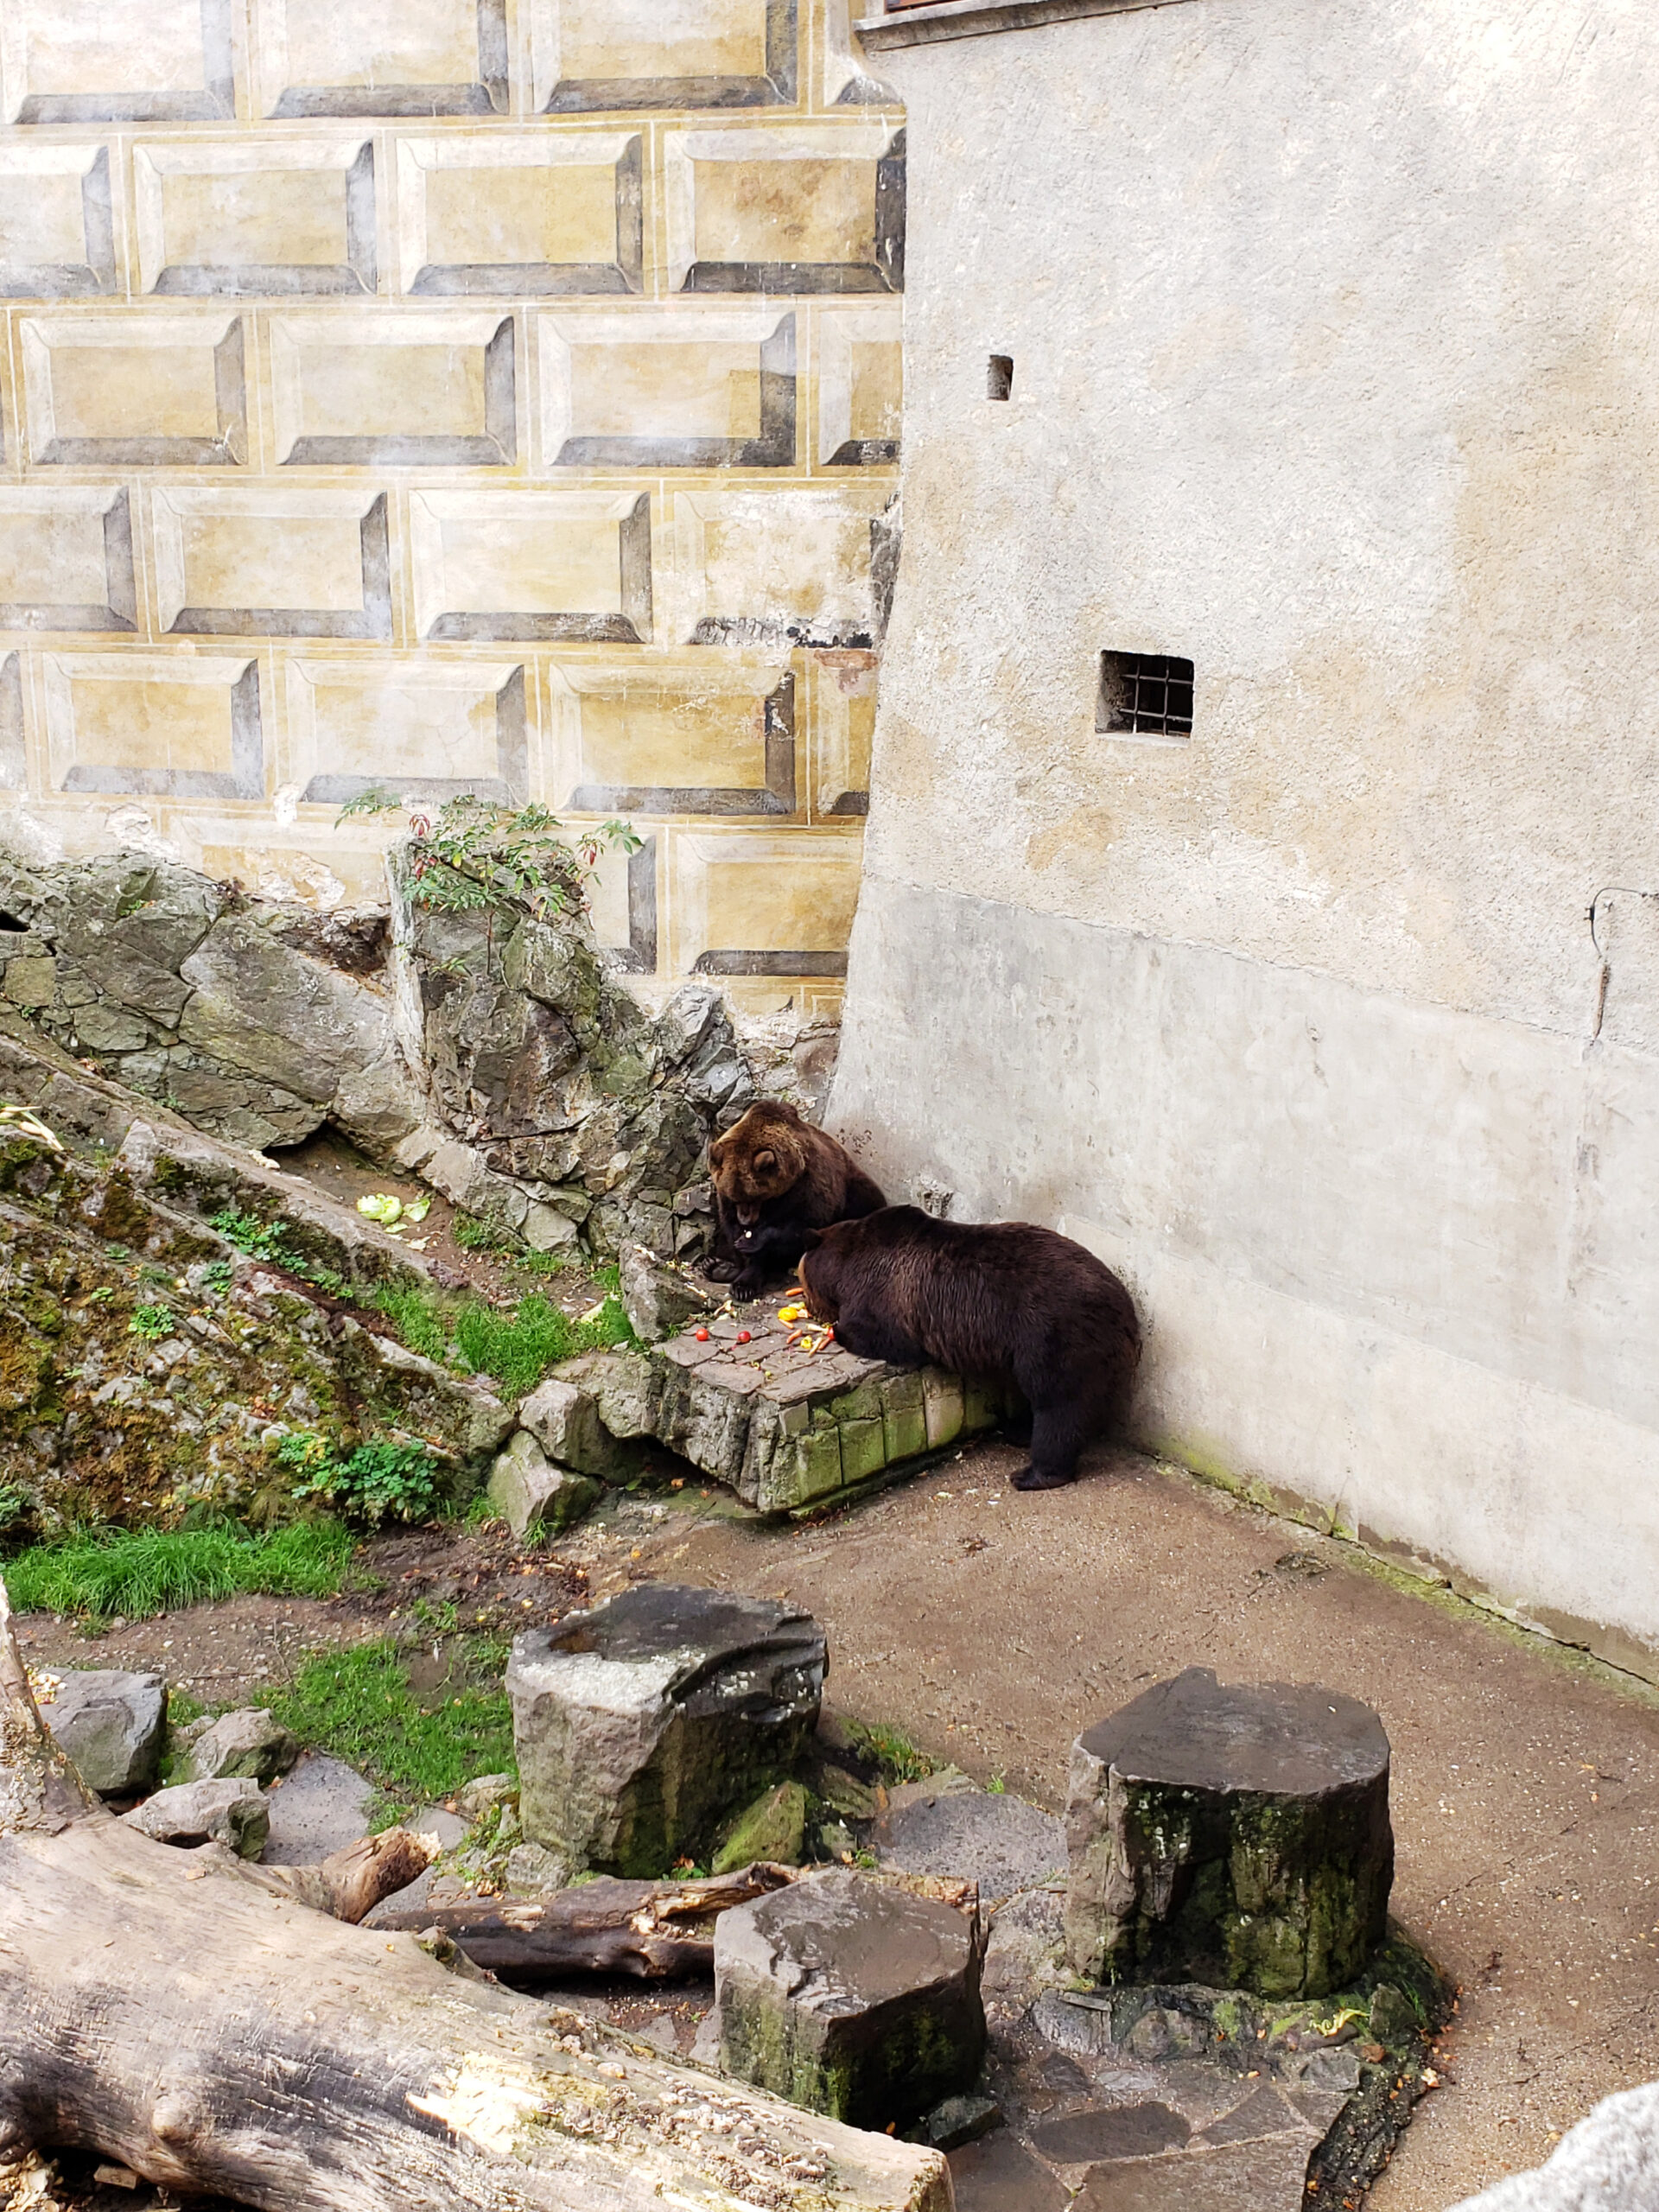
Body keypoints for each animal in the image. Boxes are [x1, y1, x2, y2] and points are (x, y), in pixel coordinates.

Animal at [703, 1101, 889, 1292]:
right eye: (736, 1199)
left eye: (755, 1198)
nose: (746, 1221)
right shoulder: (725, 1196)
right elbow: (729, 1224)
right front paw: (736, 1260)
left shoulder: (810, 1185)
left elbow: (802, 1223)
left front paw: (749, 1265)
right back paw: (717, 1267)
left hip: (856, 1192)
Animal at [796, 1203, 1141, 1495]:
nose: (811, 1307)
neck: (847, 1264)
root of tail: (1127, 1311)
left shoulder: (886, 1293)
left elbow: (883, 1337)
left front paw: (838, 1329)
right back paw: (1018, 1430)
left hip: (1054, 1335)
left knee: (1057, 1403)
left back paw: (1033, 1473)